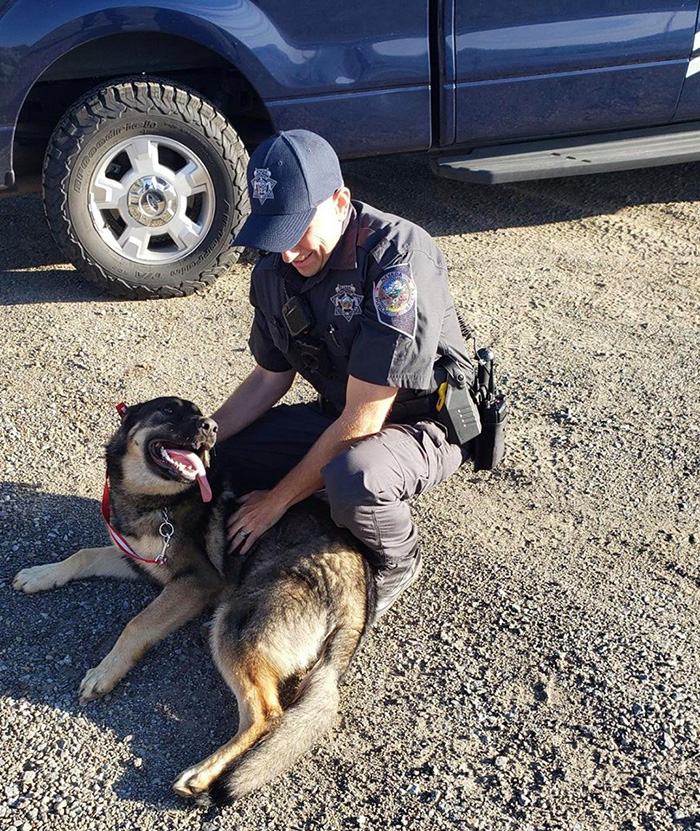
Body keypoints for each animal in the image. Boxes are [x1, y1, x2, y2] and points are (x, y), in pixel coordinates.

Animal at [12, 400, 372, 804]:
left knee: (266, 714)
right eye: (170, 410)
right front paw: (41, 574)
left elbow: (137, 623)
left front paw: (106, 671)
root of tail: (355, 600)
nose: (211, 426)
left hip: (234, 626)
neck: (159, 499)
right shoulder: (137, 561)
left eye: (198, 413)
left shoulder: (196, 582)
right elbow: (82, 555)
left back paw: (201, 773)